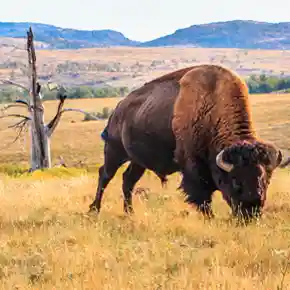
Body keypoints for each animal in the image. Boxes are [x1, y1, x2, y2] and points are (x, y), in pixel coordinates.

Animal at [89, 64, 282, 220]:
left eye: (266, 180)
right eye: (236, 181)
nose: (251, 214)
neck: (212, 106)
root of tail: (116, 110)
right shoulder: (192, 167)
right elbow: (202, 196)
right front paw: (210, 217)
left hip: (138, 161)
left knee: (128, 180)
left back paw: (129, 212)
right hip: (114, 152)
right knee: (105, 175)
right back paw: (94, 209)